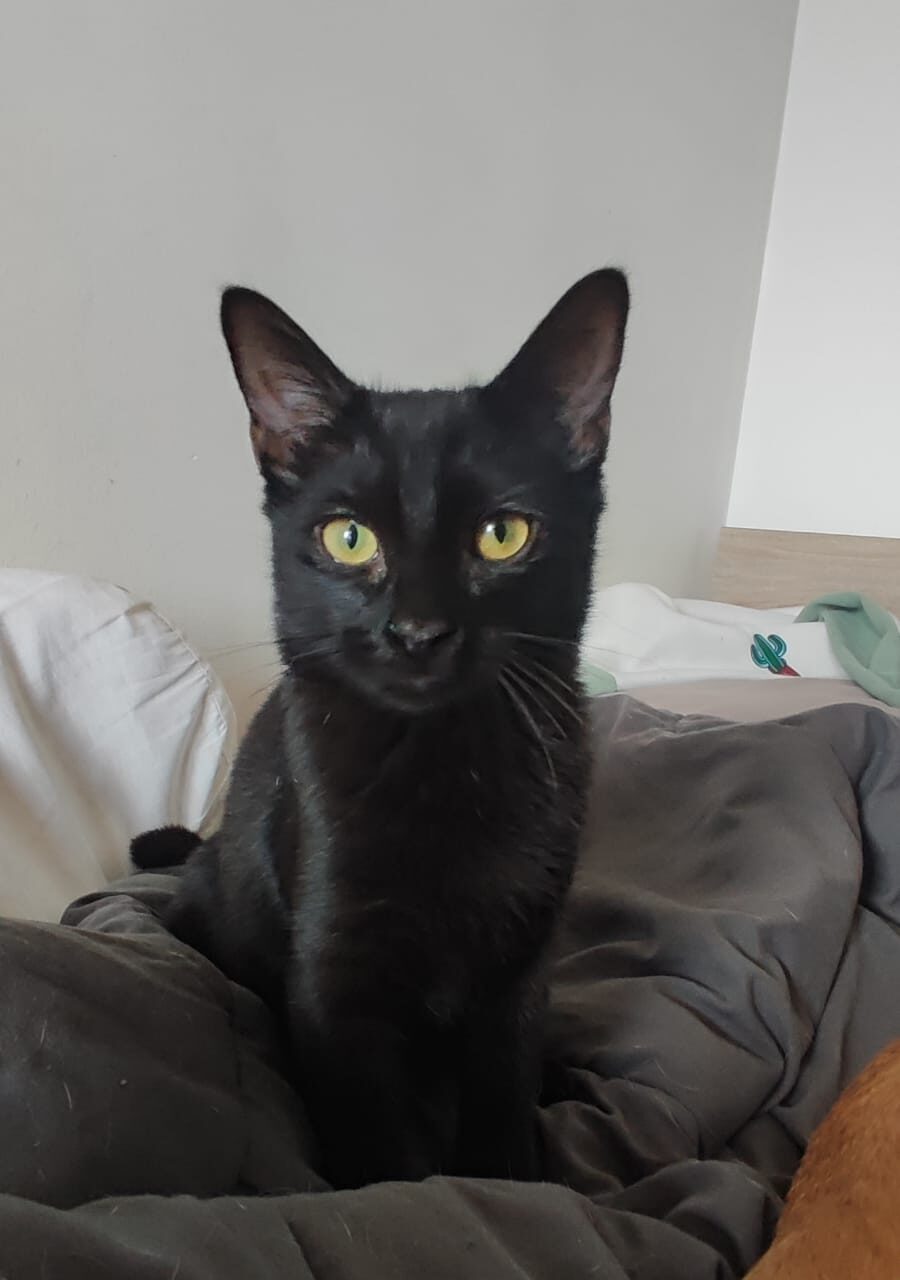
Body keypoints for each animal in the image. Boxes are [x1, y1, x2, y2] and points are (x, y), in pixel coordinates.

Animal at [133, 269, 629, 1190]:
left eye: (502, 535)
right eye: (348, 537)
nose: (418, 631)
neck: (445, 762)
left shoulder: (519, 978)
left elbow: (503, 1112)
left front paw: (516, 1176)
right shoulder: (336, 983)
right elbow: (386, 1161)